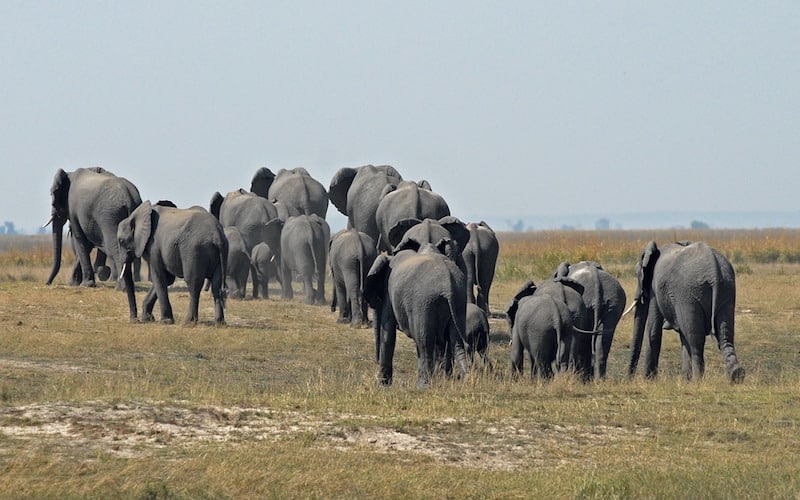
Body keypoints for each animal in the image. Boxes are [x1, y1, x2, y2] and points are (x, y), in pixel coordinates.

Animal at [362, 240, 468, 388]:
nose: (376, 373)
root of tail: (449, 286)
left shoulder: (390, 294)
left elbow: (388, 334)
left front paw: (382, 385)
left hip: (424, 303)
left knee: (424, 340)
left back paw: (422, 386)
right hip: (458, 302)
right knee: (455, 341)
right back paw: (460, 378)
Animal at [624, 241, 744, 382]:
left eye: (637, 274)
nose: (628, 379)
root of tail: (714, 272)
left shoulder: (655, 288)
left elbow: (654, 331)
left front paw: (648, 380)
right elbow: (682, 335)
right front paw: (685, 379)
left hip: (689, 294)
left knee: (696, 340)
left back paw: (698, 380)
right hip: (726, 289)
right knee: (725, 335)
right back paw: (737, 374)